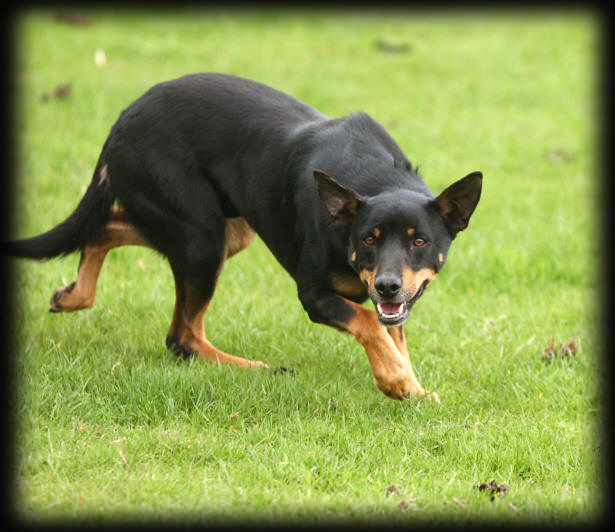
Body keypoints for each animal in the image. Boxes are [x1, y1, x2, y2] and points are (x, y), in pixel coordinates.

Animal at [7, 74, 484, 400]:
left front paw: (412, 387)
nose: (386, 285)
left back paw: (73, 295)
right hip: (202, 235)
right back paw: (257, 368)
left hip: (223, 231)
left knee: (108, 229)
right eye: (369, 239)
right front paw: (395, 381)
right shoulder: (313, 294)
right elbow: (368, 322)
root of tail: (121, 121)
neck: (373, 178)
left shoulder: (394, 305)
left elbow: (393, 336)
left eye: (419, 242)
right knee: (183, 338)